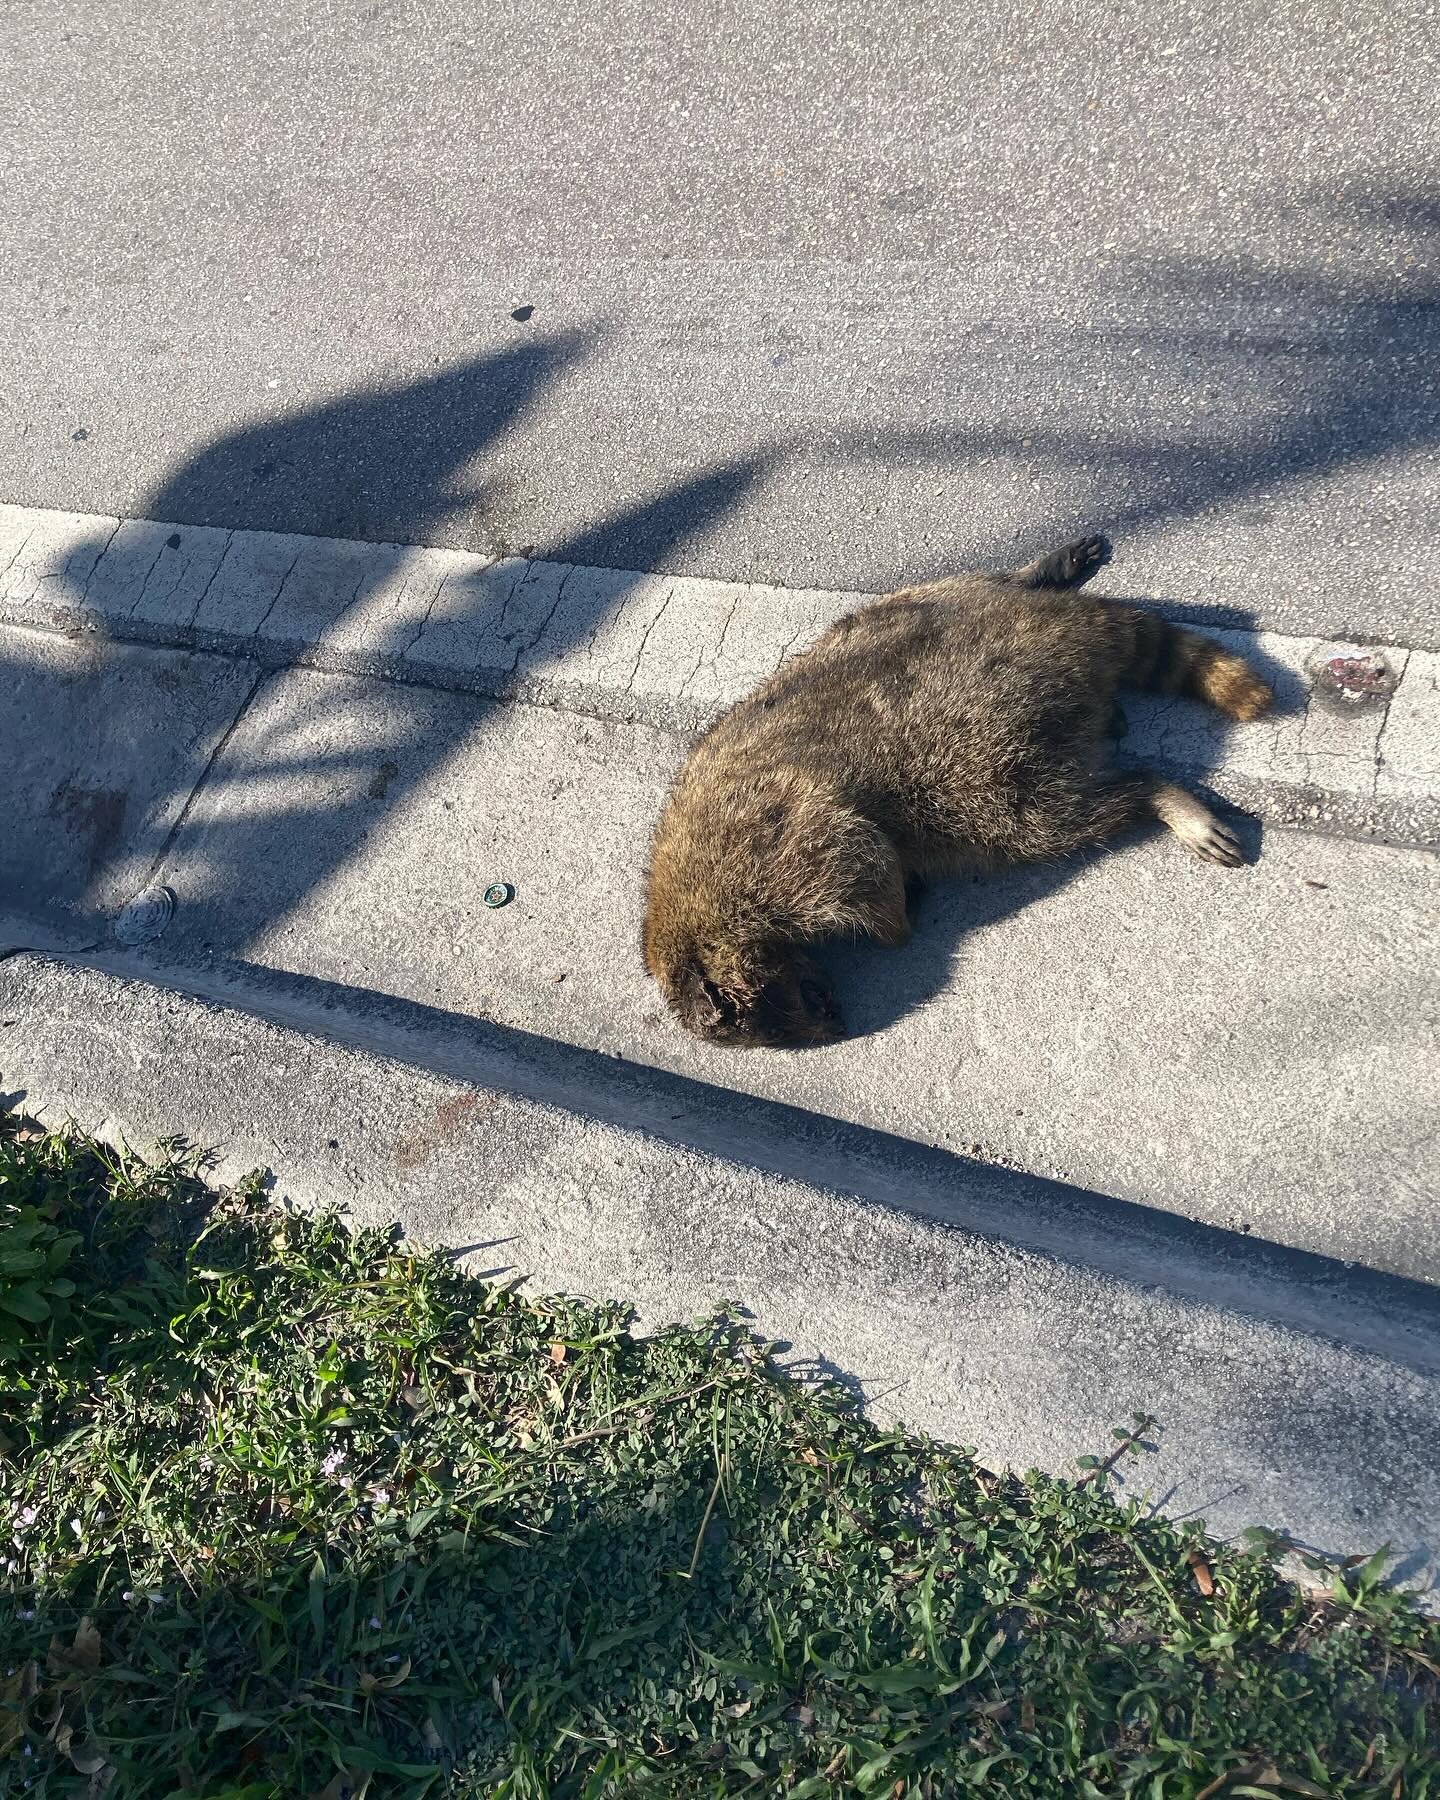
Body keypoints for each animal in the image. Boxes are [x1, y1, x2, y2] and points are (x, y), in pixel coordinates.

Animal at [642, 534, 1272, 1048]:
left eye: (771, 1025)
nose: (839, 1029)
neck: (692, 912)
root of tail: (1060, 626)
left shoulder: (773, 852)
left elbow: (863, 858)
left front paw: (897, 917)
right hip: (925, 620)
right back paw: (1040, 575)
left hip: (990, 748)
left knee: (1040, 820)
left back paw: (1154, 793)